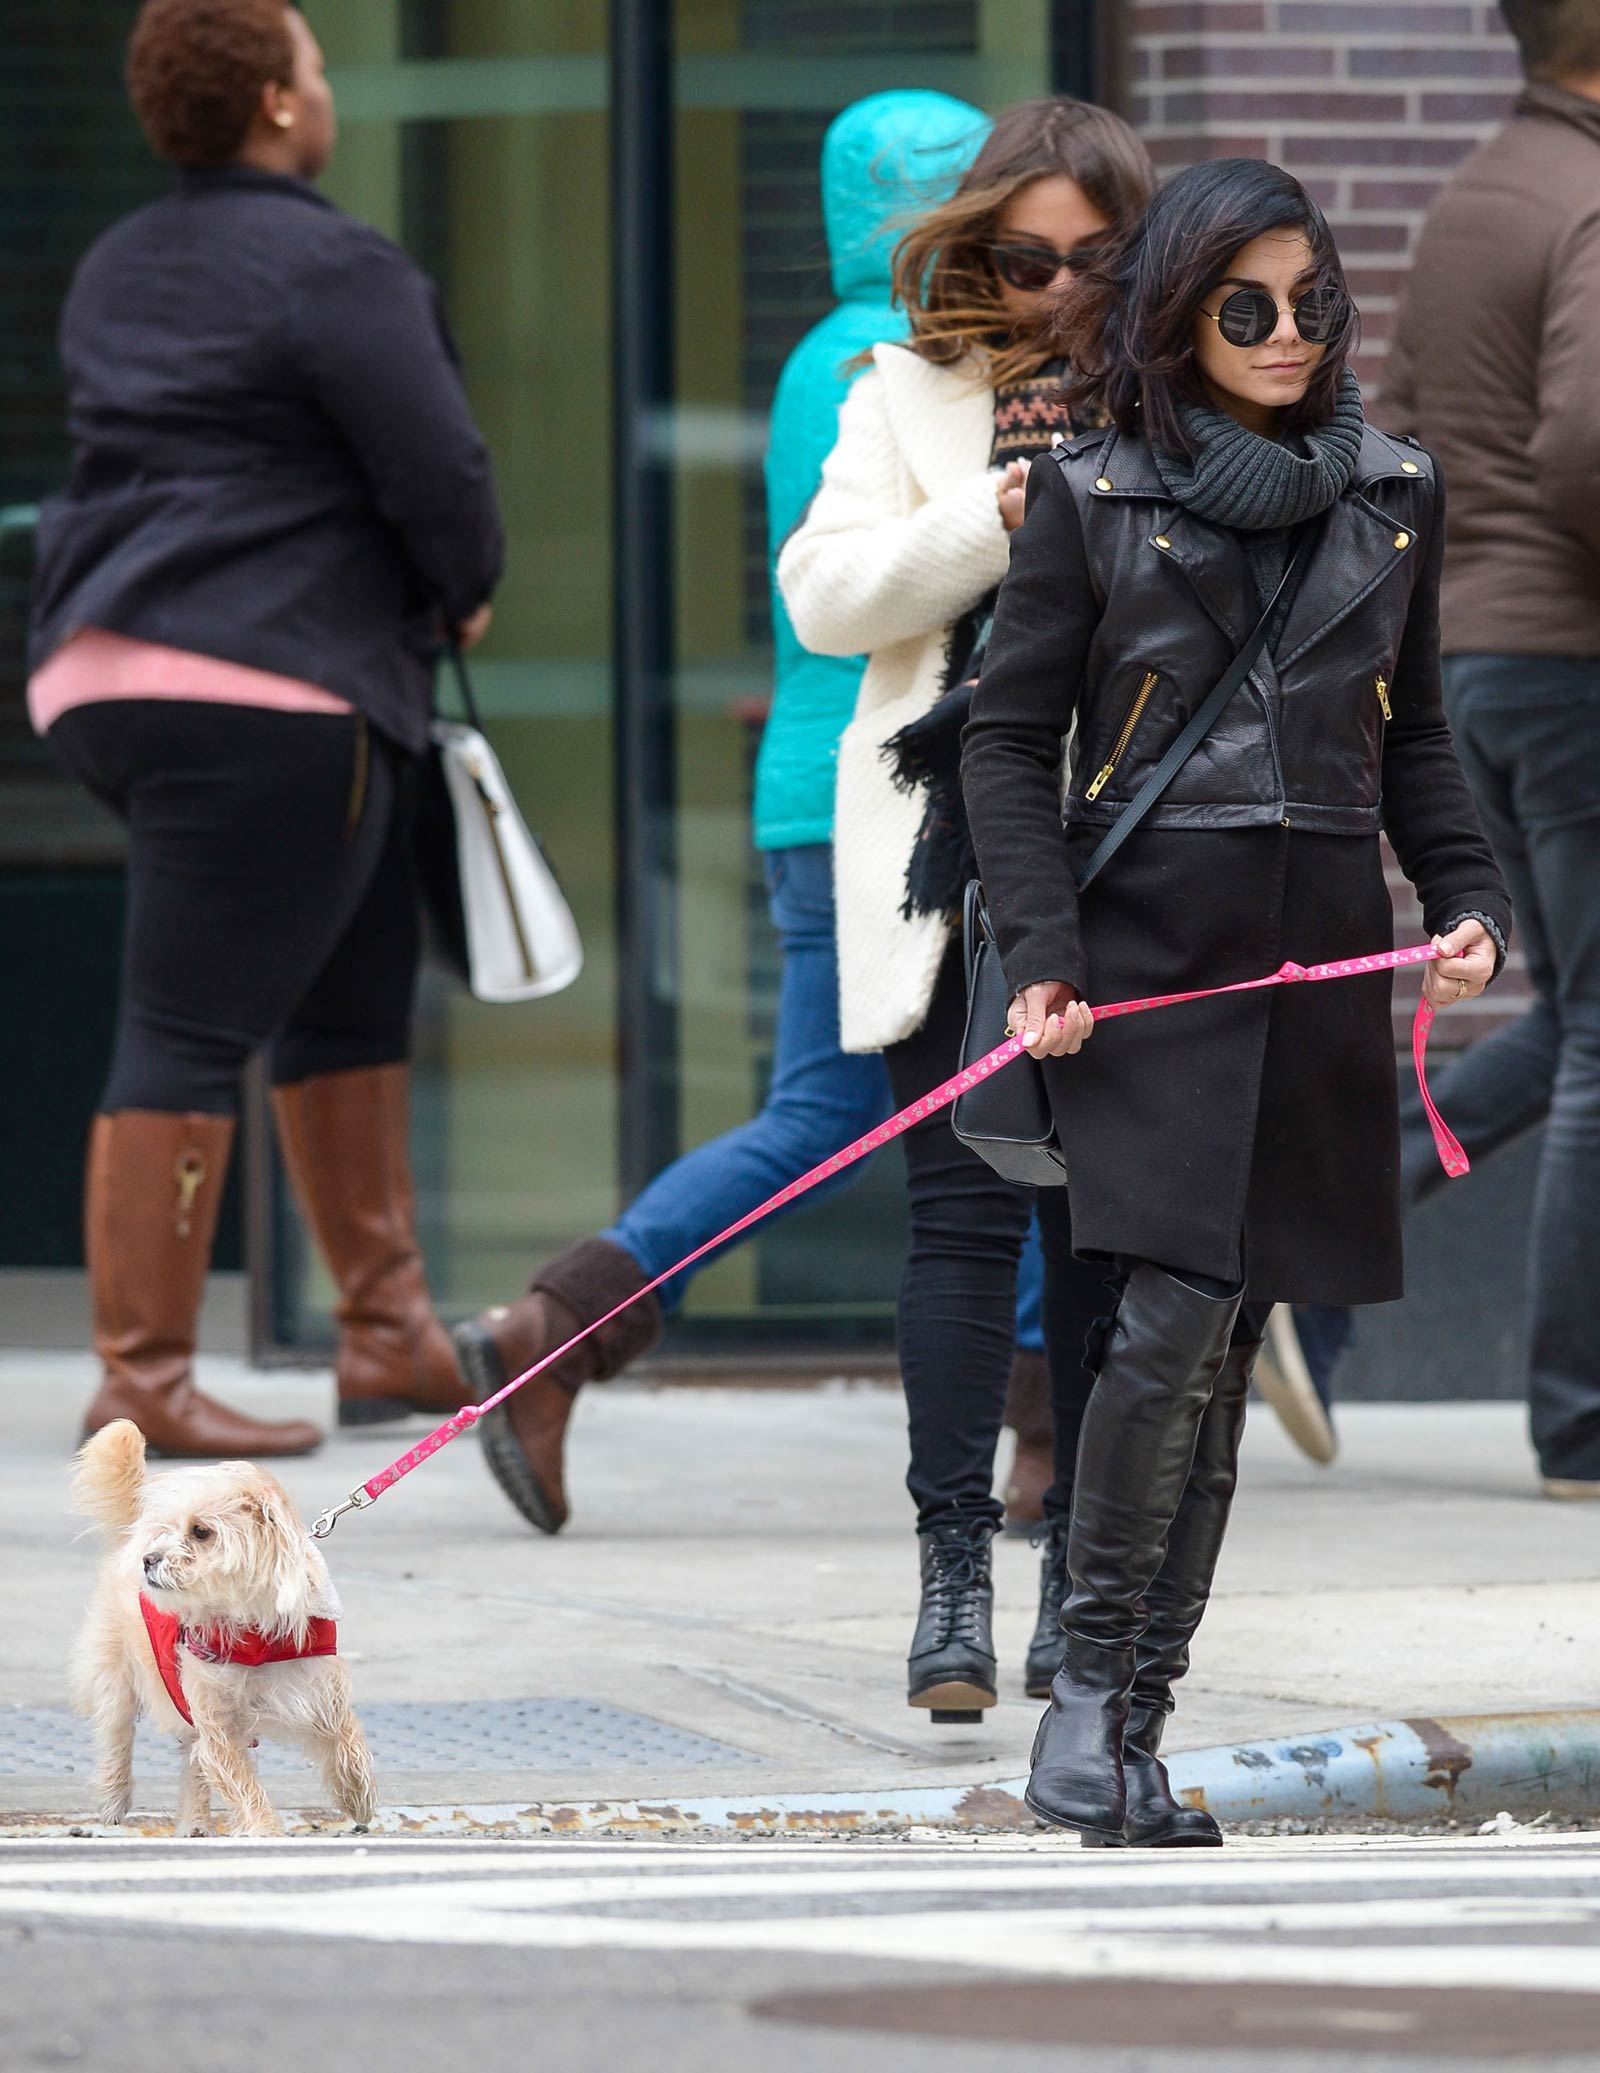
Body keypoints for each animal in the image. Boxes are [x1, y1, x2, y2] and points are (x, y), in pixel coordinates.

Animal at [74, 1417, 377, 1840]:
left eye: (201, 1532)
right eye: (165, 1531)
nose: (149, 1559)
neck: (254, 1634)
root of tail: (126, 1541)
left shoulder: (319, 1693)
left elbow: (347, 1740)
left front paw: (356, 1795)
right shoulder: (218, 1722)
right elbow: (241, 1781)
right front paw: (264, 1828)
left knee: (190, 1758)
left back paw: (195, 1825)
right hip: (115, 1676)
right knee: (115, 1733)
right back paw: (113, 1795)